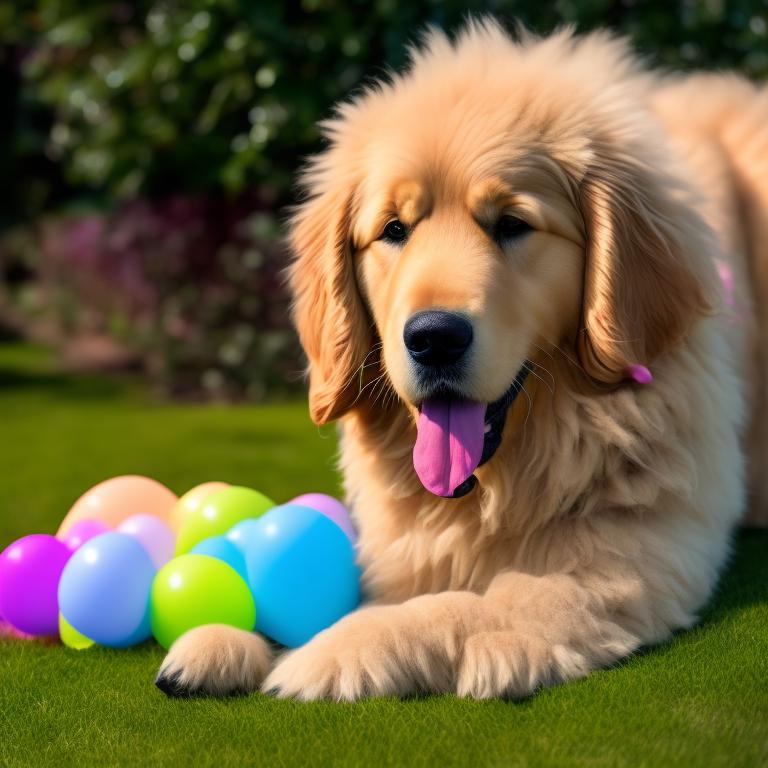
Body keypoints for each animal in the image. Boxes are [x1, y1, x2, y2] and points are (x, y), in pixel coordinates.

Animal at [154, 19, 768, 704]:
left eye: (512, 224)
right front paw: (226, 638)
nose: (433, 338)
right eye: (394, 229)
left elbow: (463, 604)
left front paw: (336, 649)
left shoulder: (627, 555)